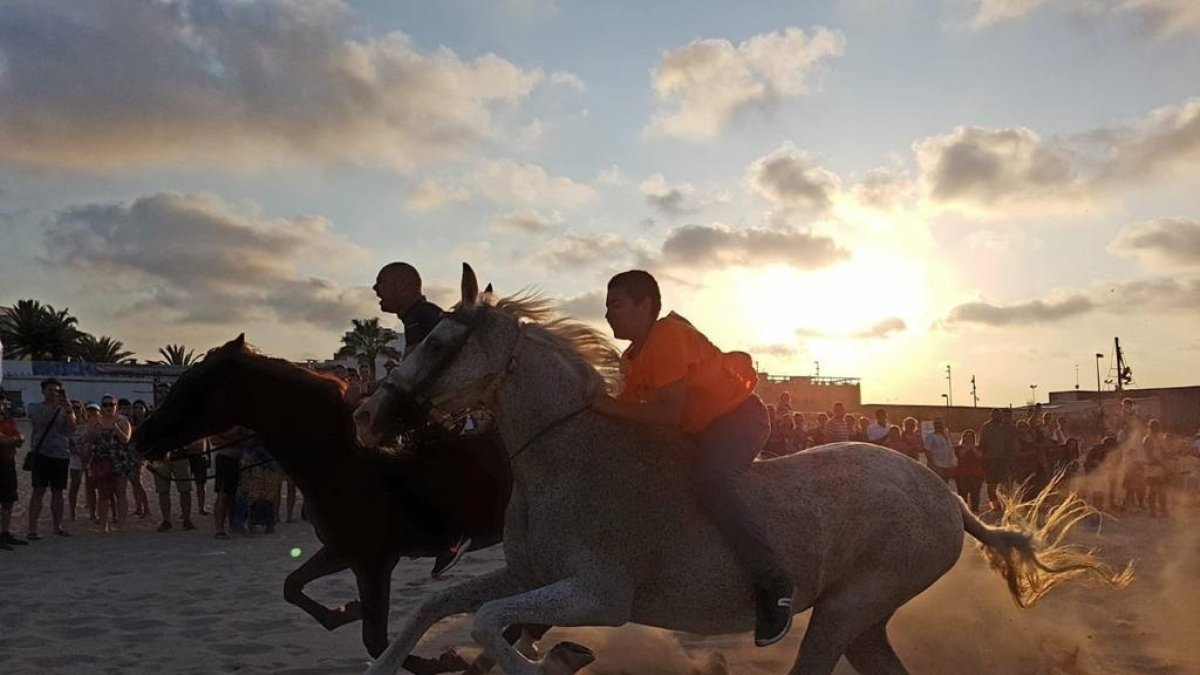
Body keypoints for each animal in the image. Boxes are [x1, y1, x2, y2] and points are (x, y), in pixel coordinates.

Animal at [136, 333, 535, 667]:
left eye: (194, 385)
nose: (142, 436)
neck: (344, 463)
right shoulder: (343, 552)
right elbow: (292, 587)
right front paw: (344, 612)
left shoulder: (374, 562)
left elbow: (377, 642)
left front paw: (442, 661)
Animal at [350, 263, 1128, 672]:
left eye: (438, 341)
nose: (366, 418)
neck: (565, 461)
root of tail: (945, 494)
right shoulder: (528, 573)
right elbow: (438, 607)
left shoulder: (599, 594)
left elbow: (488, 624)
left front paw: (548, 659)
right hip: (863, 617)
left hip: (849, 606)